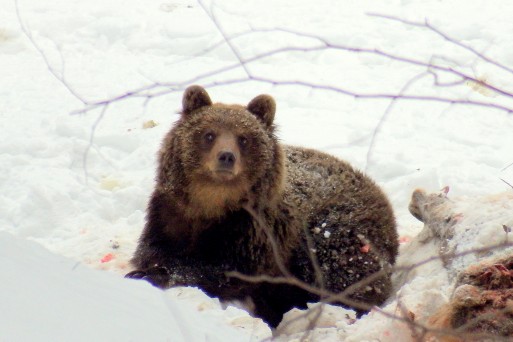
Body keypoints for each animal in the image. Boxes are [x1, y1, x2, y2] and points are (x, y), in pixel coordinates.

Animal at [126, 85, 398, 326]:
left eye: (243, 138)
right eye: (209, 134)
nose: (226, 156)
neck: (212, 206)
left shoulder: (255, 232)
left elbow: (225, 271)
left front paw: (153, 273)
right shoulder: (170, 214)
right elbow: (151, 250)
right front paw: (146, 269)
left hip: (336, 230)